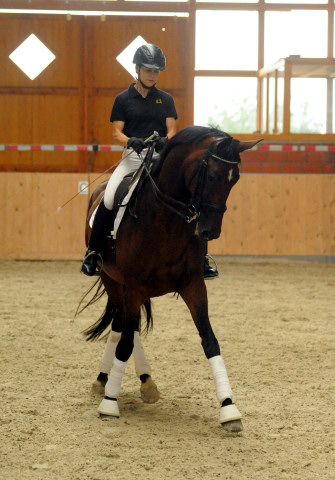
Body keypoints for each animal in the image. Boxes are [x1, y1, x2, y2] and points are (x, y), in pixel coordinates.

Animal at [82, 125, 262, 434]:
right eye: (212, 176)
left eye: (235, 179)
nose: (210, 231)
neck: (164, 219)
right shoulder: (134, 287)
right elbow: (125, 344)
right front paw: (109, 405)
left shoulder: (194, 286)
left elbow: (210, 341)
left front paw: (229, 409)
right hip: (111, 279)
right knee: (123, 329)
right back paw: (106, 381)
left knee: (125, 326)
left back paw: (144, 383)